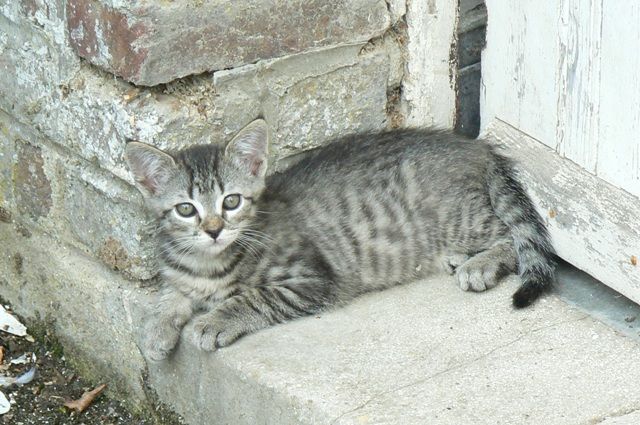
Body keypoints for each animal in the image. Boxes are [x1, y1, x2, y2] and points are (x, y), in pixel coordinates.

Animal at [125, 118, 556, 358]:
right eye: (186, 209)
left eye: (231, 201)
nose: (213, 230)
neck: (209, 264)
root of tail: (476, 145)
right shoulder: (181, 275)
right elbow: (169, 294)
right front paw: (155, 330)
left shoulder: (313, 280)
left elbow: (254, 297)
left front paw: (214, 320)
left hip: (457, 215)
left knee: (512, 236)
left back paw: (480, 263)